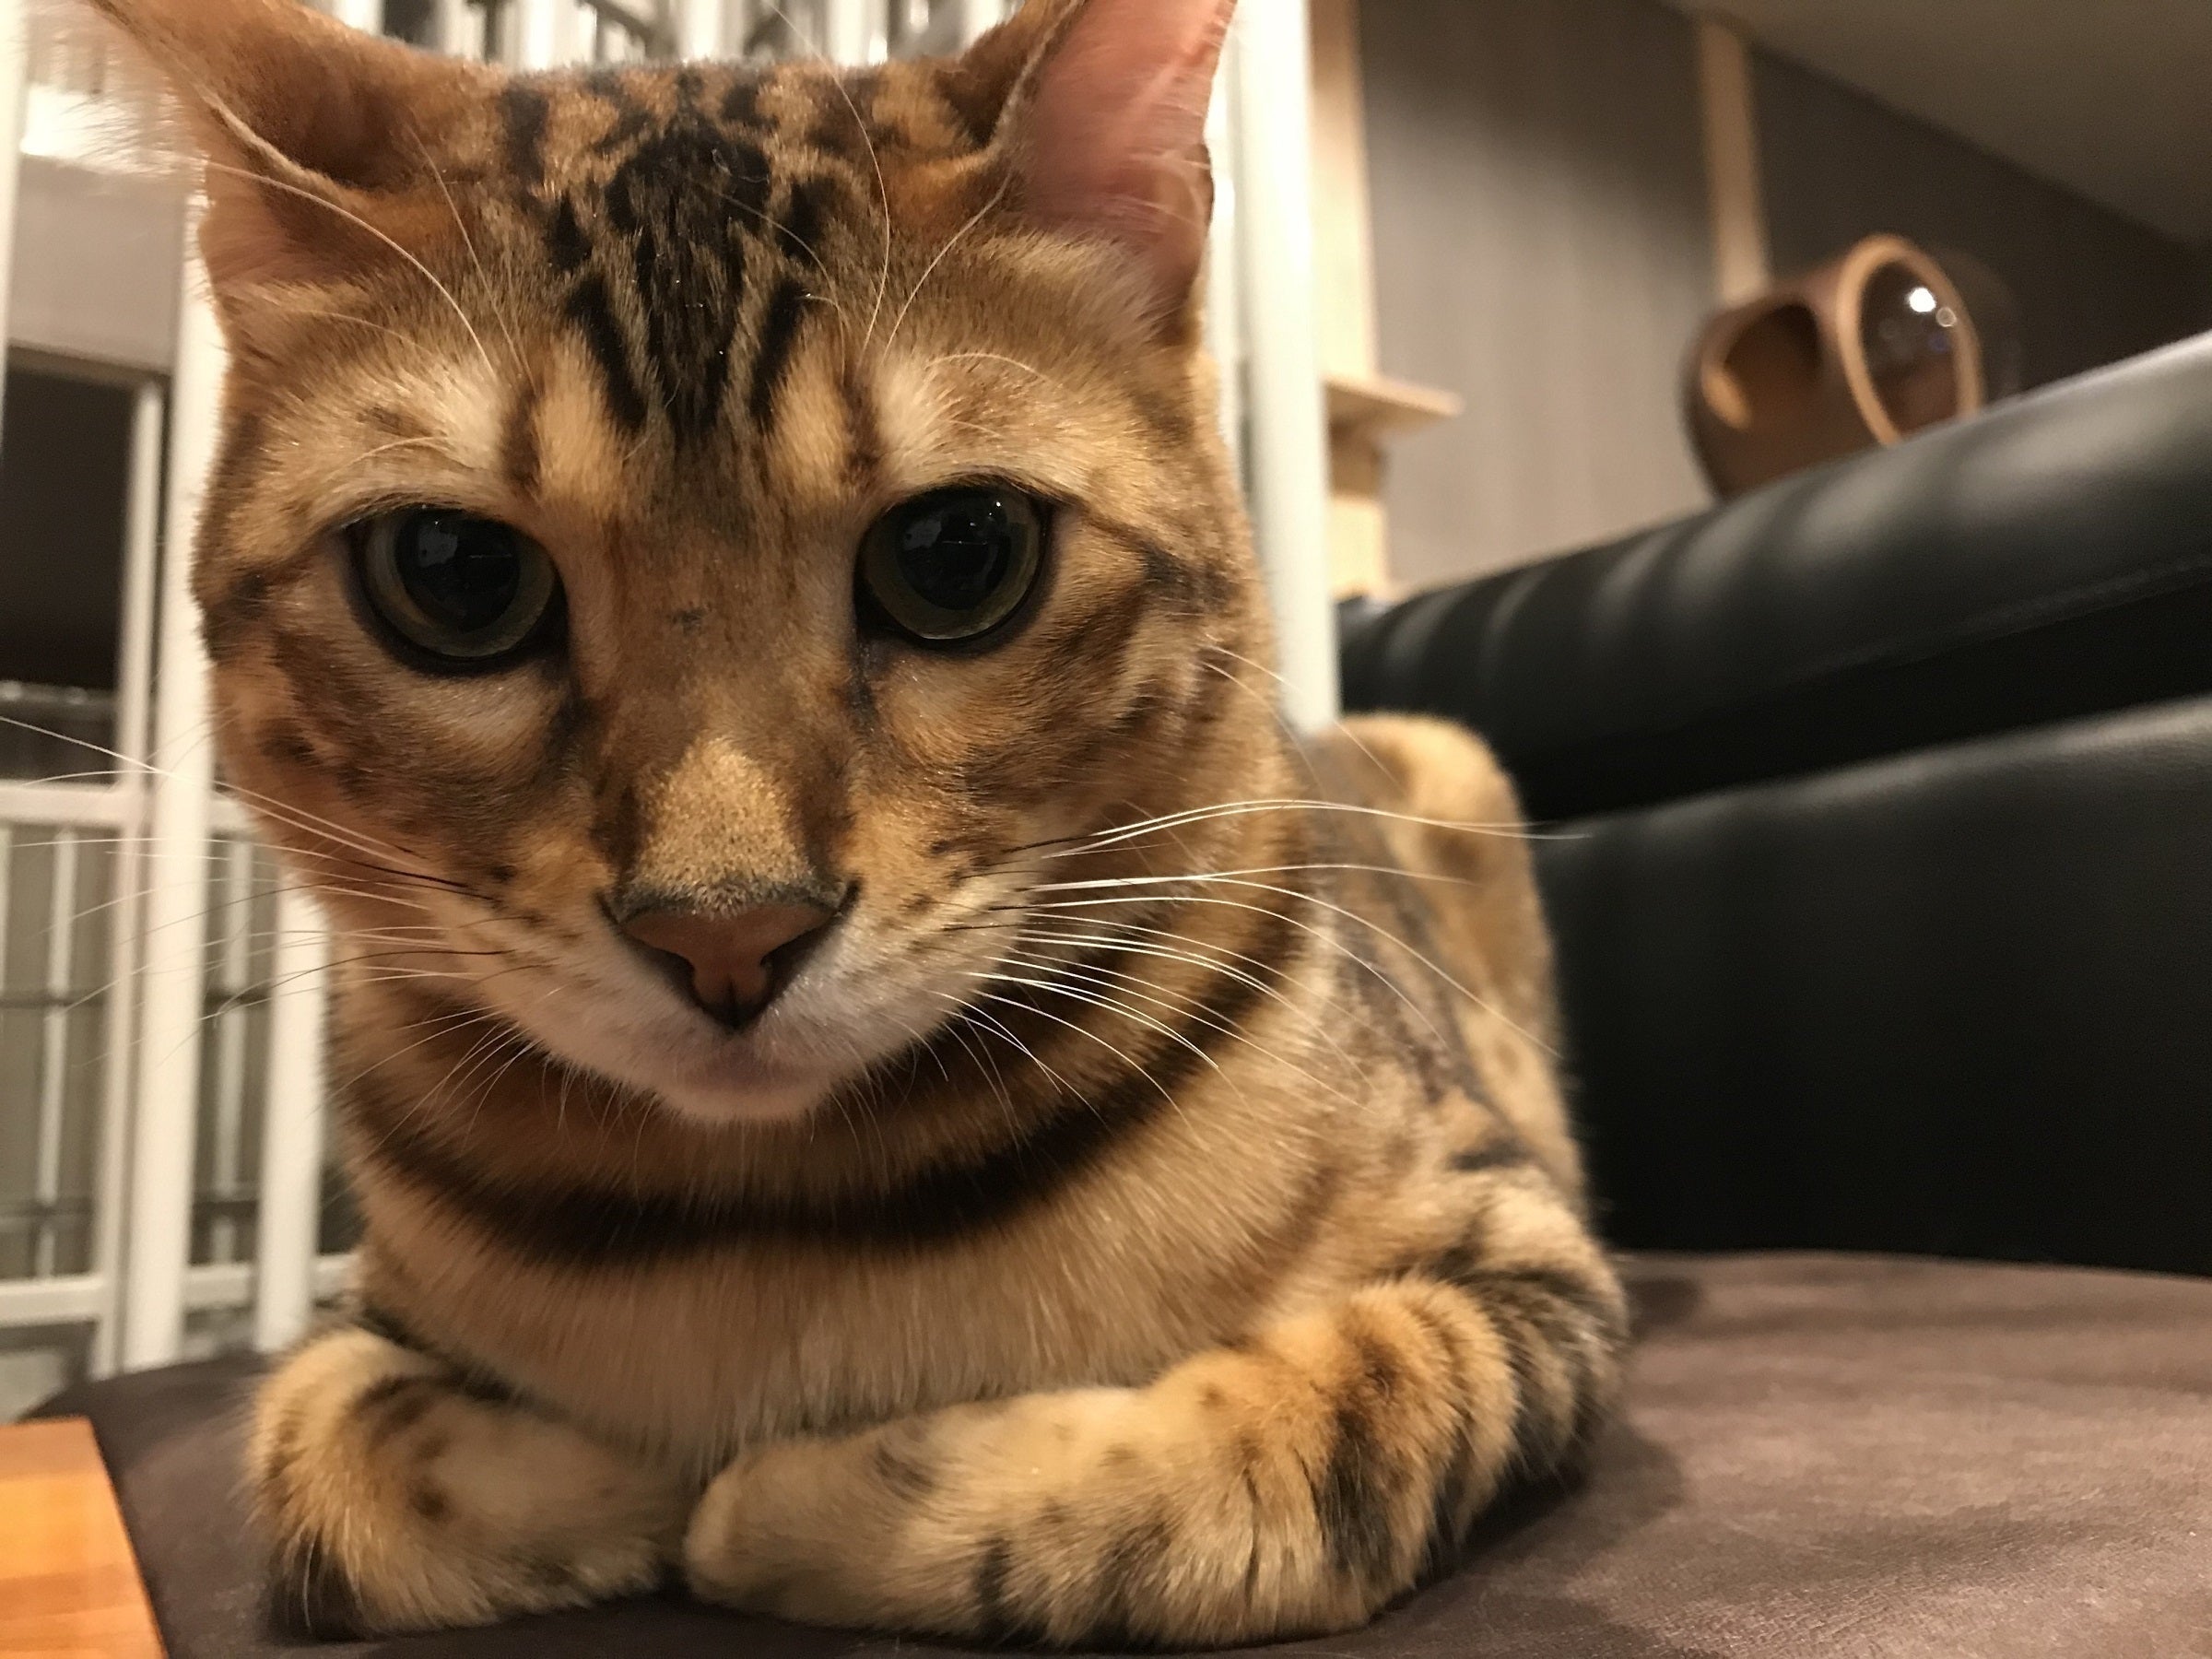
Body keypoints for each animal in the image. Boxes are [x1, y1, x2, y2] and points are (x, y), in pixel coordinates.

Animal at [88, 0, 1626, 1645]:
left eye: (959, 554)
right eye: (452, 574)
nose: (728, 934)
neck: (777, 1228)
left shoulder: (1525, 1259)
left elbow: (1324, 1422)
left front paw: (805, 1503)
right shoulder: (353, 1328)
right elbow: (328, 1458)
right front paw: (621, 1482)